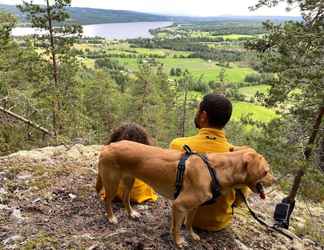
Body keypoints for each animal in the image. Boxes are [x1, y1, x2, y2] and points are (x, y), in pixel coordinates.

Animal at [95, 141, 274, 248]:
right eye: (266, 171)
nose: (276, 180)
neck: (214, 170)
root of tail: (109, 145)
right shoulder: (179, 205)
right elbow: (177, 227)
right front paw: (179, 241)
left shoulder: (193, 207)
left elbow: (187, 224)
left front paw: (192, 235)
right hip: (112, 182)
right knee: (107, 200)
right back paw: (111, 217)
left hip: (129, 179)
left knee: (125, 198)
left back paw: (131, 213)